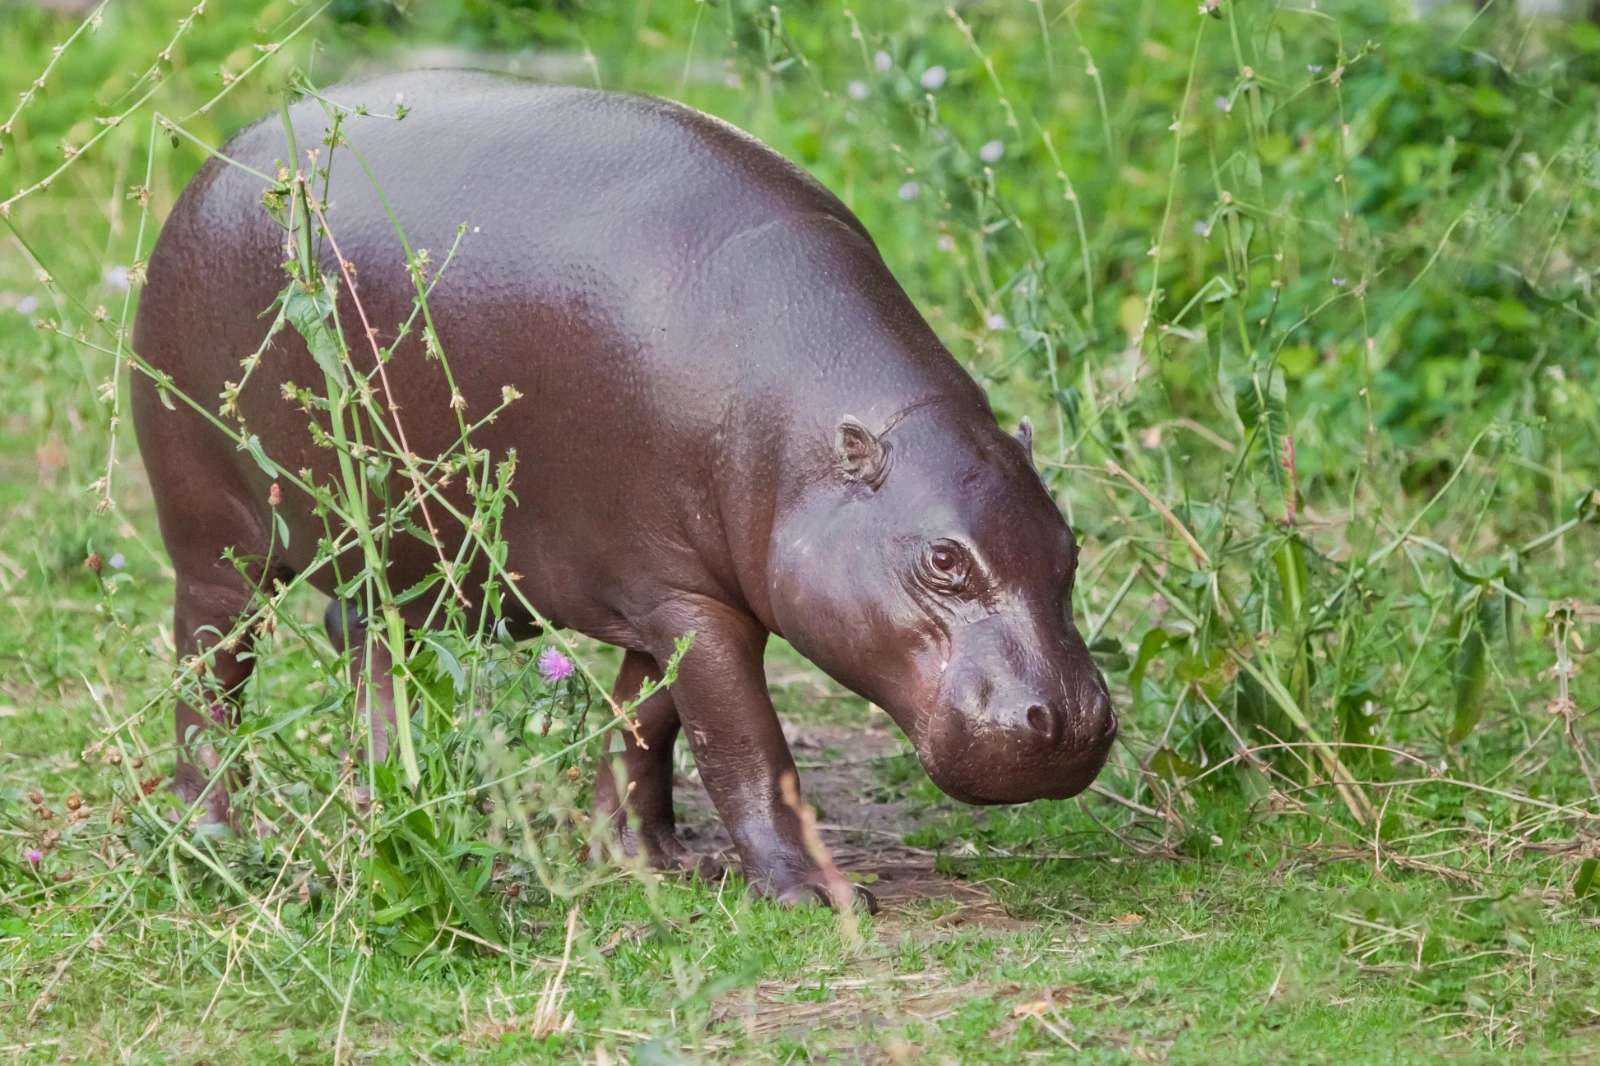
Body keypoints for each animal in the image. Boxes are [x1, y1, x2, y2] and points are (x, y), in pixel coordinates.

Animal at [131, 70, 1117, 906]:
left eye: (1071, 546)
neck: (811, 432)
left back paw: (390, 800)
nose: (1069, 720)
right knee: (209, 674)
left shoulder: (675, 588)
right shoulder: (689, 599)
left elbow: (649, 727)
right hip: (213, 539)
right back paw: (217, 841)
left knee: (369, 649)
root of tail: (219, 160)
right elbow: (745, 746)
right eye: (944, 560)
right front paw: (818, 895)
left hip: (400, 559)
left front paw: (638, 859)